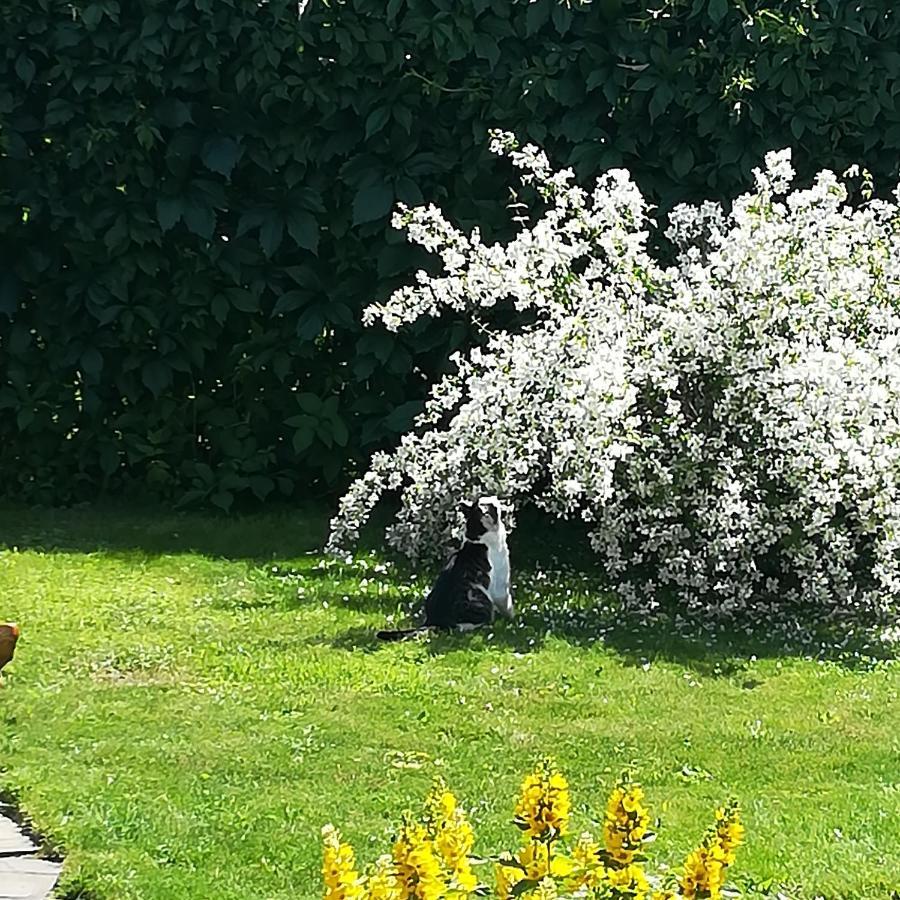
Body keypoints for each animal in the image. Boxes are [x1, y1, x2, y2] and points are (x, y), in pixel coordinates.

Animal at [374, 500, 512, 640]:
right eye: (492, 504)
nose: (497, 500)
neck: (479, 539)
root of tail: (434, 620)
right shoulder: (501, 586)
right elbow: (508, 605)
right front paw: (512, 620)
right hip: (480, 601)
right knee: (462, 627)